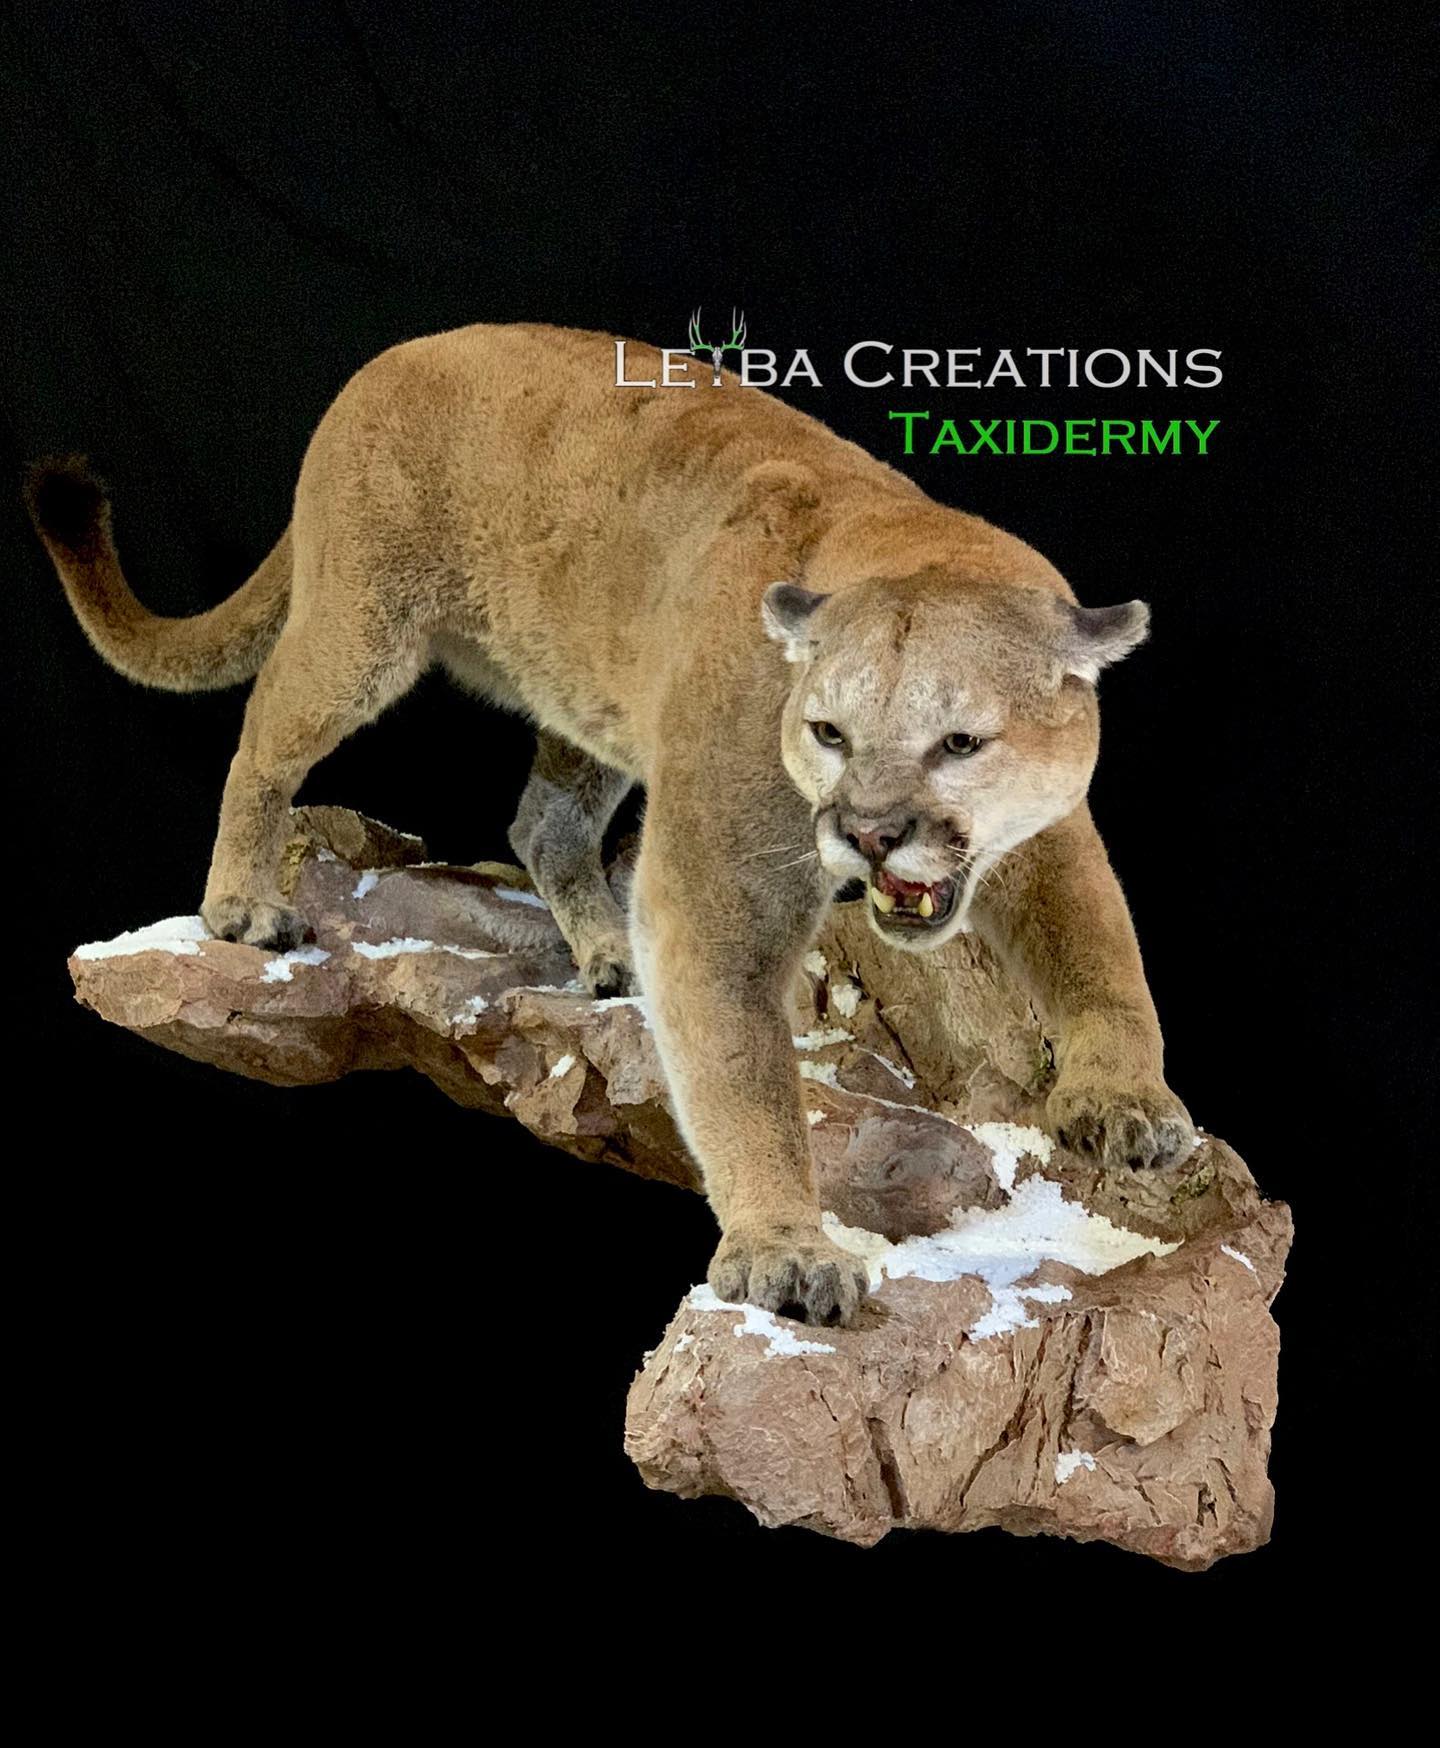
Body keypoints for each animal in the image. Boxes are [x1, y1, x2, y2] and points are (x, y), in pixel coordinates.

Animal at [26, 323, 1194, 1325]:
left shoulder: (1049, 838)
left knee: (541, 823)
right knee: (264, 733)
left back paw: (604, 954)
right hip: (359, 625)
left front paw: (1129, 1105)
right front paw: (786, 1250)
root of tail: (386, 360)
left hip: (583, 698)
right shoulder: (716, 885)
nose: (867, 833)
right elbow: (744, 1071)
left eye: (961, 742)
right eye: (829, 730)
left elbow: (1104, 962)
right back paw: (240, 904)